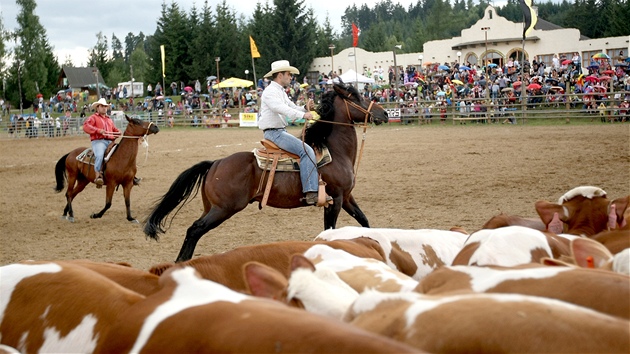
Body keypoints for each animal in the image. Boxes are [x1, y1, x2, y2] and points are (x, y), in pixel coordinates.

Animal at [146, 81, 390, 262]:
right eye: (356, 98)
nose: (385, 114)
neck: (334, 151)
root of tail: (216, 163)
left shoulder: (347, 197)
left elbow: (365, 221)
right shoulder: (335, 199)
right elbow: (329, 230)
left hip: (213, 208)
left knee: (193, 230)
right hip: (223, 209)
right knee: (194, 230)